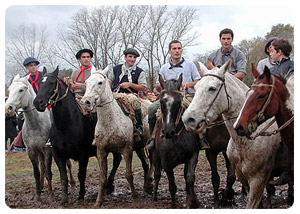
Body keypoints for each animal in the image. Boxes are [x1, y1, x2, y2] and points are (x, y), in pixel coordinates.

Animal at [33, 67, 121, 204]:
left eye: (52, 82)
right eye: (38, 82)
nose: (38, 103)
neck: (66, 125)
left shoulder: (82, 155)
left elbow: (81, 175)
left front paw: (81, 195)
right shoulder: (58, 155)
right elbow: (63, 177)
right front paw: (64, 198)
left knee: (117, 160)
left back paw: (109, 186)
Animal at [80, 67, 152, 207]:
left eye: (100, 82)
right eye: (86, 82)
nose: (85, 102)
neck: (110, 121)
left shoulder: (127, 149)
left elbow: (128, 174)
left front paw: (135, 197)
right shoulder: (101, 151)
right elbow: (102, 178)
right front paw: (98, 201)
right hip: (140, 147)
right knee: (146, 164)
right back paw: (146, 187)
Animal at [182, 61, 282, 208]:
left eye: (212, 88)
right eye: (196, 87)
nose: (188, 119)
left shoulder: (258, 177)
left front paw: (227, 197)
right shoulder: (216, 154)